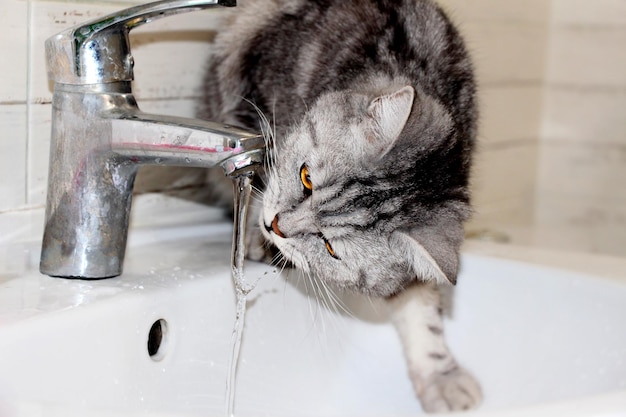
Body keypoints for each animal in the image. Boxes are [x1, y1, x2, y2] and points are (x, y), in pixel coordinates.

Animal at [197, 0, 480, 410]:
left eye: (330, 247)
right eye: (306, 178)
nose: (274, 226)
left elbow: (422, 308)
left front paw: (443, 376)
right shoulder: (248, 89)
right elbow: (257, 171)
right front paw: (252, 235)